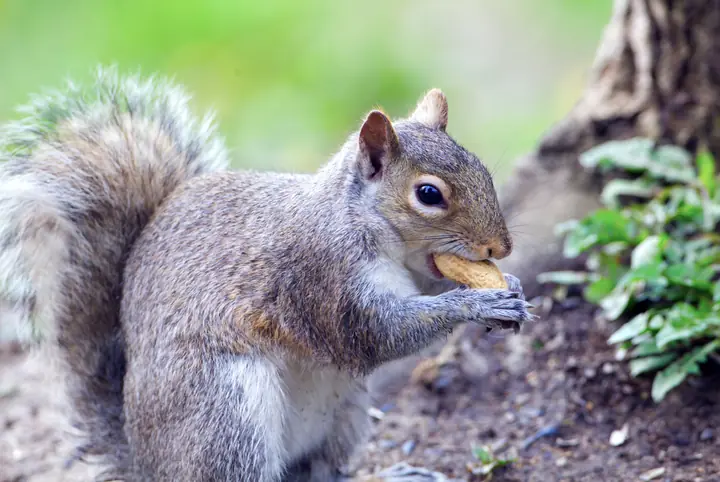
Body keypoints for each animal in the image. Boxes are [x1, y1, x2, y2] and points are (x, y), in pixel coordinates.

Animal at [0, 67, 533, 482]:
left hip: (345, 412)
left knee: (317, 471)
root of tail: (148, 464)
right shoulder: (321, 278)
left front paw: (509, 288)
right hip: (225, 411)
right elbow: (375, 334)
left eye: (483, 169)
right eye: (428, 194)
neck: (364, 224)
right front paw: (475, 302)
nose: (501, 247)